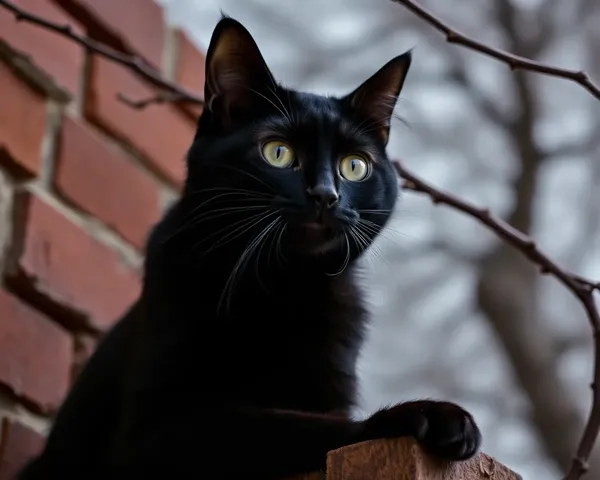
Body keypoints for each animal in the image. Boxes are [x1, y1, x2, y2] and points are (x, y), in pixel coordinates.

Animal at [17, 15, 478, 480]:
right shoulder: (147, 436)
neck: (284, 286)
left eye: (355, 166)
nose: (325, 195)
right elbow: (296, 426)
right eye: (277, 152)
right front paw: (423, 415)